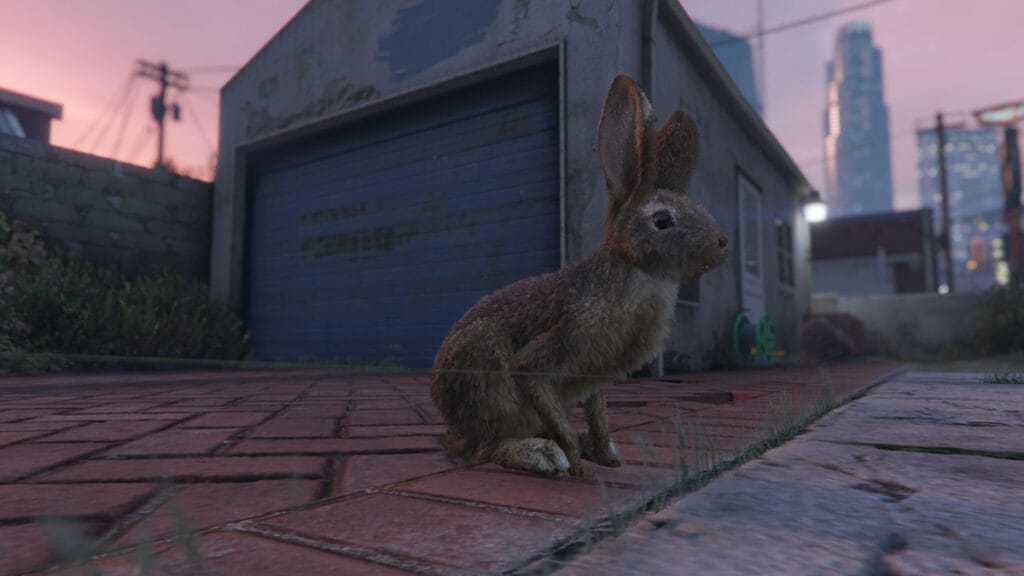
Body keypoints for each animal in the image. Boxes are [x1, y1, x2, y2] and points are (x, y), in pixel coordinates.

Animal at [430, 75, 729, 477]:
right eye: (662, 220)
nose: (722, 243)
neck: (632, 273)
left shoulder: (595, 377)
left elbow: (598, 412)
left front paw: (607, 456)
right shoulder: (553, 350)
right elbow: (537, 382)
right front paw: (577, 465)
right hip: (484, 369)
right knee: (482, 448)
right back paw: (540, 454)